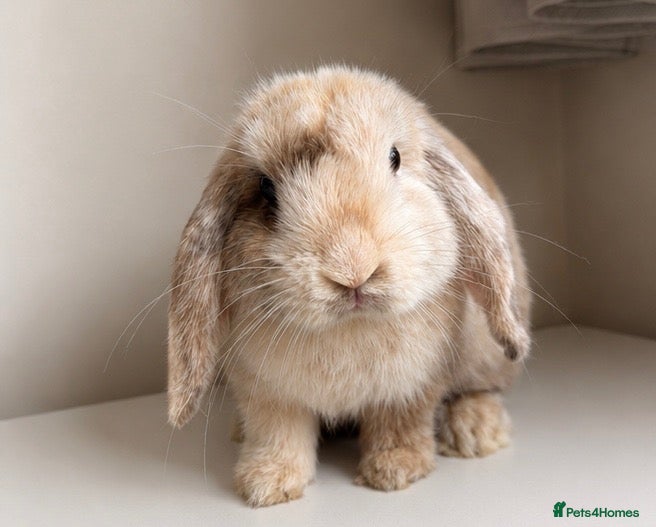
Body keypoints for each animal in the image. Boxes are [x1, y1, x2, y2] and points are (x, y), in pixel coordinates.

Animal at [167, 65, 531, 507]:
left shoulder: (411, 385)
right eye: (266, 189)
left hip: (485, 356)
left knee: (483, 388)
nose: (353, 270)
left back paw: (474, 431)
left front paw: (394, 471)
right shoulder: (267, 393)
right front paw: (266, 484)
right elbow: (278, 434)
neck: (348, 327)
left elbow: (400, 424)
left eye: (395, 158)